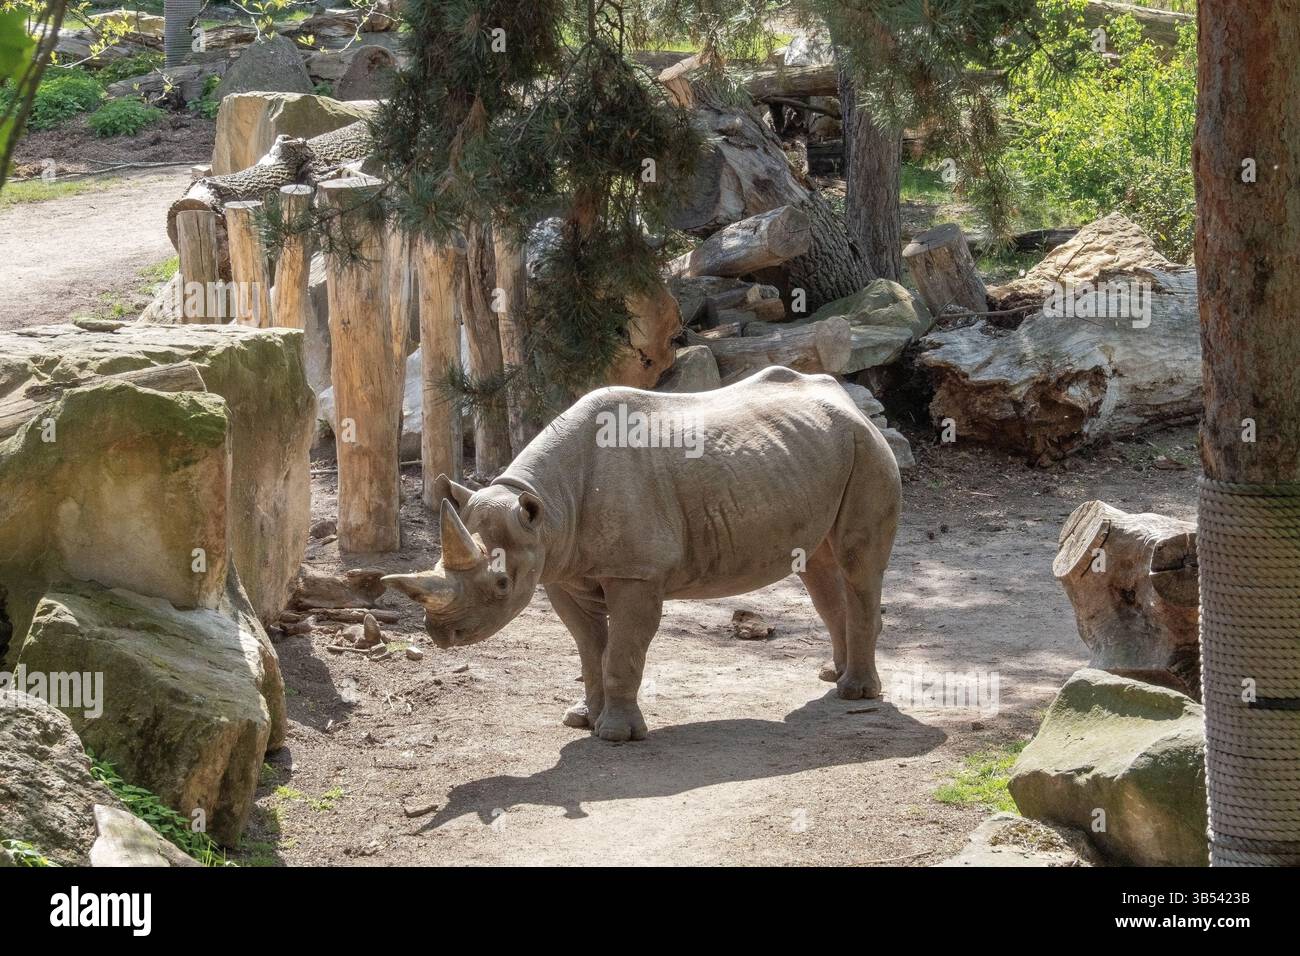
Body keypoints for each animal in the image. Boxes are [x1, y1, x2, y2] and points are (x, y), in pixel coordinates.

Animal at [383, 366, 901, 742]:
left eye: (502, 583)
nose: (440, 634)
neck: (545, 508)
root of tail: (851, 402)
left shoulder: (637, 572)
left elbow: (622, 651)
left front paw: (615, 736)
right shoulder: (561, 570)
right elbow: (589, 647)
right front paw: (581, 719)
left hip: (869, 450)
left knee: (856, 563)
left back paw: (855, 693)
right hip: (820, 453)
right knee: (818, 566)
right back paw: (832, 675)